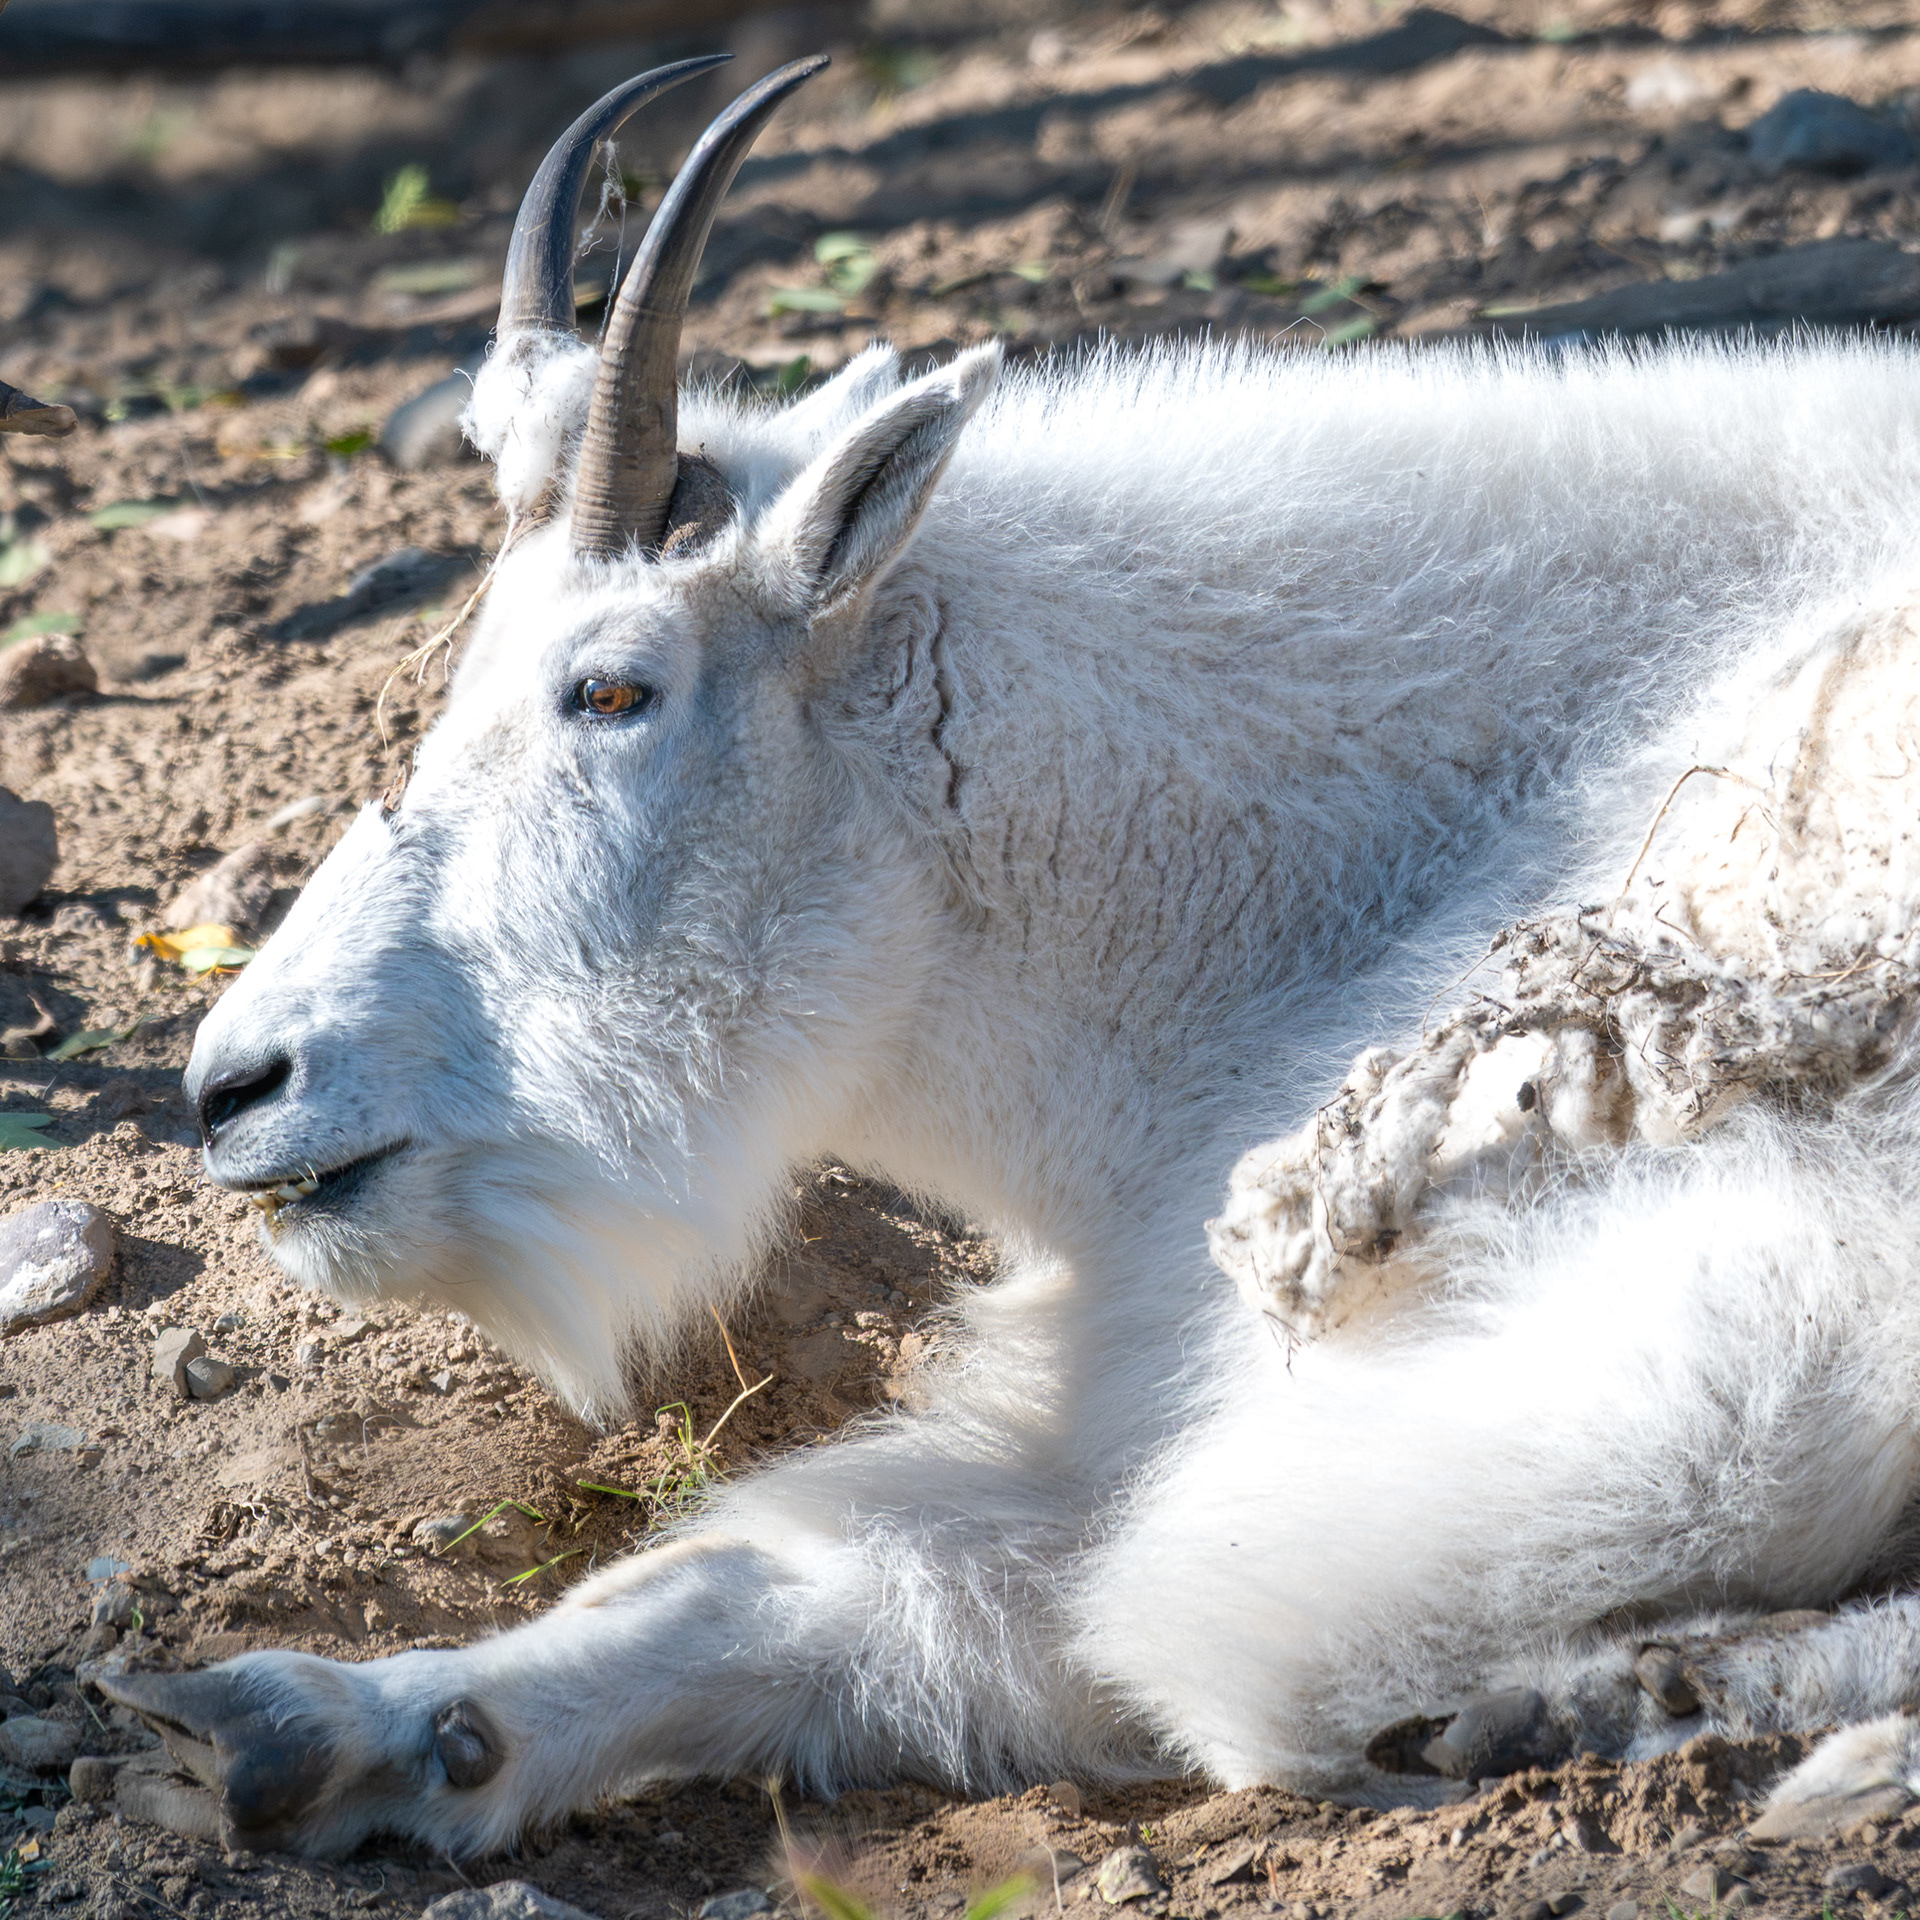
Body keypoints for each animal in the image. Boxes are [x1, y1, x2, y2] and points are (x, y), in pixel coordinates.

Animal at [101, 52, 1920, 1857]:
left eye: (612, 688)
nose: (239, 1087)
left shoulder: (1711, 1311)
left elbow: (1252, 1652)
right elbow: (809, 1590)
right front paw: (307, 1725)